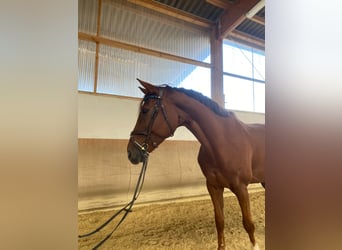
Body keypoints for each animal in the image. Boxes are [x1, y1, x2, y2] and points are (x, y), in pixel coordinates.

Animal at [127, 79, 264, 249]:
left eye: (146, 110)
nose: (130, 152)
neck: (223, 141)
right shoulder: (213, 187)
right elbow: (219, 221)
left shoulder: (241, 188)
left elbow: (248, 223)